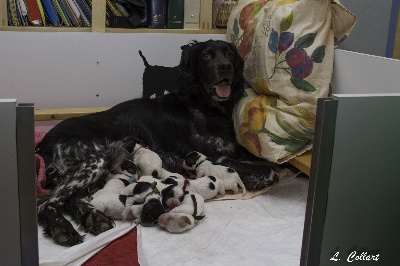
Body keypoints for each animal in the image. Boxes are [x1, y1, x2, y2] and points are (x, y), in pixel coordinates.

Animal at [36, 40, 278, 246]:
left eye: (229, 54)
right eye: (206, 56)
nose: (226, 67)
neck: (206, 107)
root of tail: (43, 144)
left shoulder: (232, 150)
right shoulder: (217, 157)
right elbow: (270, 172)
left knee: (71, 199)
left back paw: (94, 218)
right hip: (96, 160)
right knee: (46, 203)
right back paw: (62, 229)